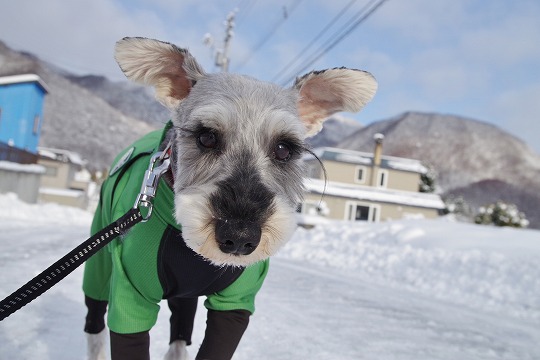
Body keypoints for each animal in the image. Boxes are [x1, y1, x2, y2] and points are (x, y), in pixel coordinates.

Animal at [82, 37, 378, 360]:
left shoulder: (236, 302)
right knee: (94, 318)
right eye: (206, 137)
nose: (239, 236)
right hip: (99, 264)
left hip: (183, 298)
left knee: (180, 331)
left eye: (284, 149)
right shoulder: (130, 297)